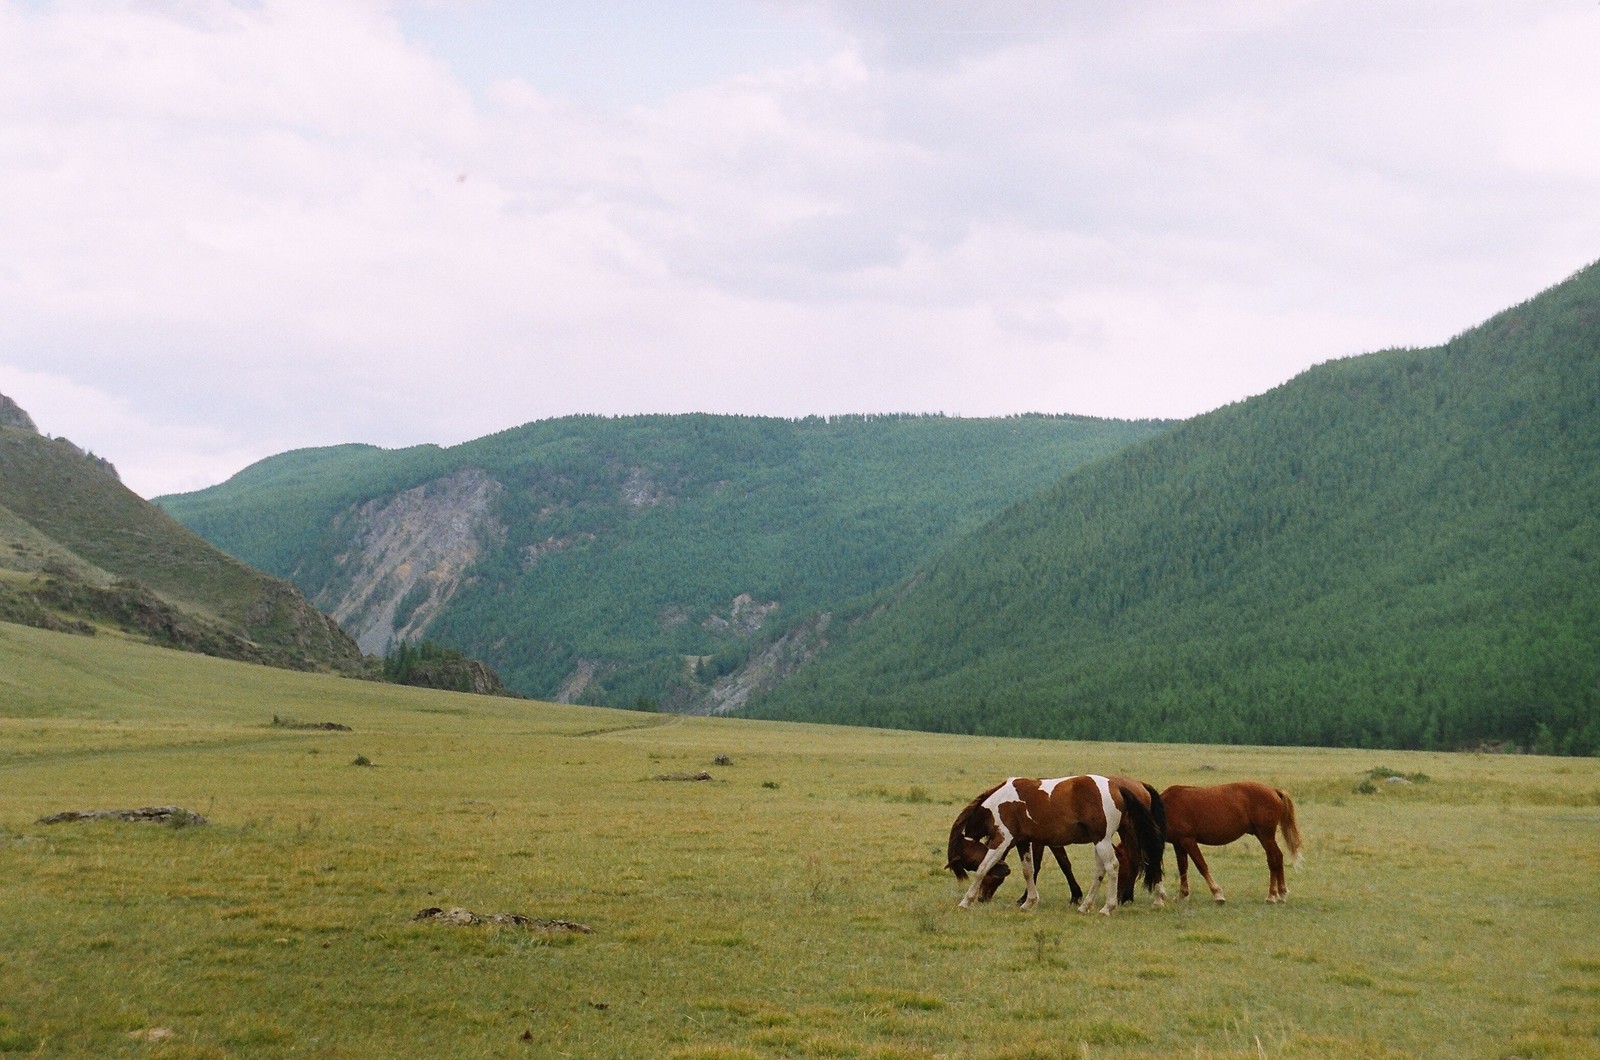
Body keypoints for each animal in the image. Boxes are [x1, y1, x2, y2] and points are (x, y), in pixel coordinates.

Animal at [947, 778, 1164, 915]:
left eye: (969, 863)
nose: (983, 898)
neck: (998, 803)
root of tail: (1118, 787)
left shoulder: (1002, 839)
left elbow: (983, 869)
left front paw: (965, 901)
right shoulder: (1023, 841)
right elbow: (1028, 871)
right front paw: (1028, 902)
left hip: (1103, 840)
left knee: (1112, 867)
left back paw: (1107, 907)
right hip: (1099, 841)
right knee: (1100, 871)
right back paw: (1085, 906)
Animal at [1158, 781, 1305, 903]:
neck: (1167, 806)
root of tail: (1274, 791)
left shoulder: (1188, 840)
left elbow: (1201, 865)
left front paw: (1217, 893)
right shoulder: (1178, 843)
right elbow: (1182, 868)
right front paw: (1182, 895)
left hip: (1265, 836)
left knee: (1274, 859)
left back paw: (1272, 895)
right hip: (1264, 836)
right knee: (1277, 857)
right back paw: (1281, 893)